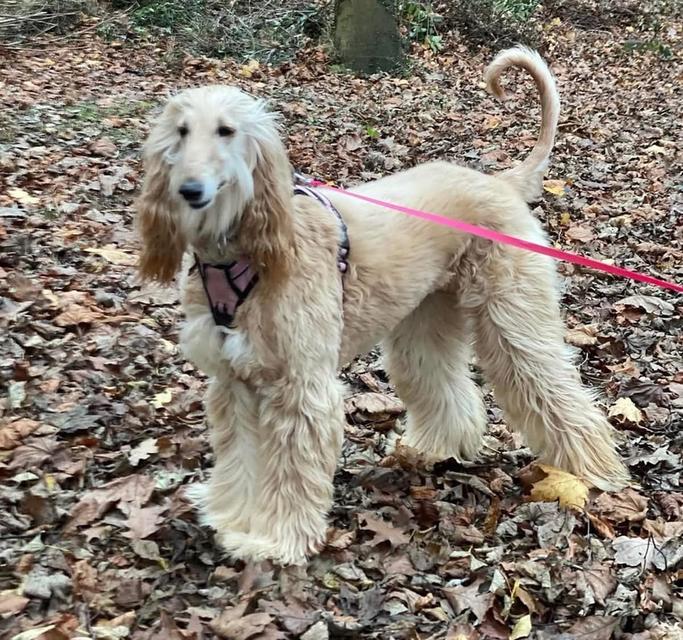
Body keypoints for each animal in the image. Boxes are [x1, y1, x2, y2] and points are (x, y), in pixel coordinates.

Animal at [136, 47, 632, 564]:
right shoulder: (234, 381)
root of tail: (499, 183)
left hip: (512, 316)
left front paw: (276, 539)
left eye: (227, 131)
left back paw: (593, 473)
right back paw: (436, 449)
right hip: (425, 318)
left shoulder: (300, 387)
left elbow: (290, 470)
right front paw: (232, 518)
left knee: (552, 389)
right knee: (441, 384)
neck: (242, 255)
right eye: (181, 131)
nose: (189, 190)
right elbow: (239, 458)